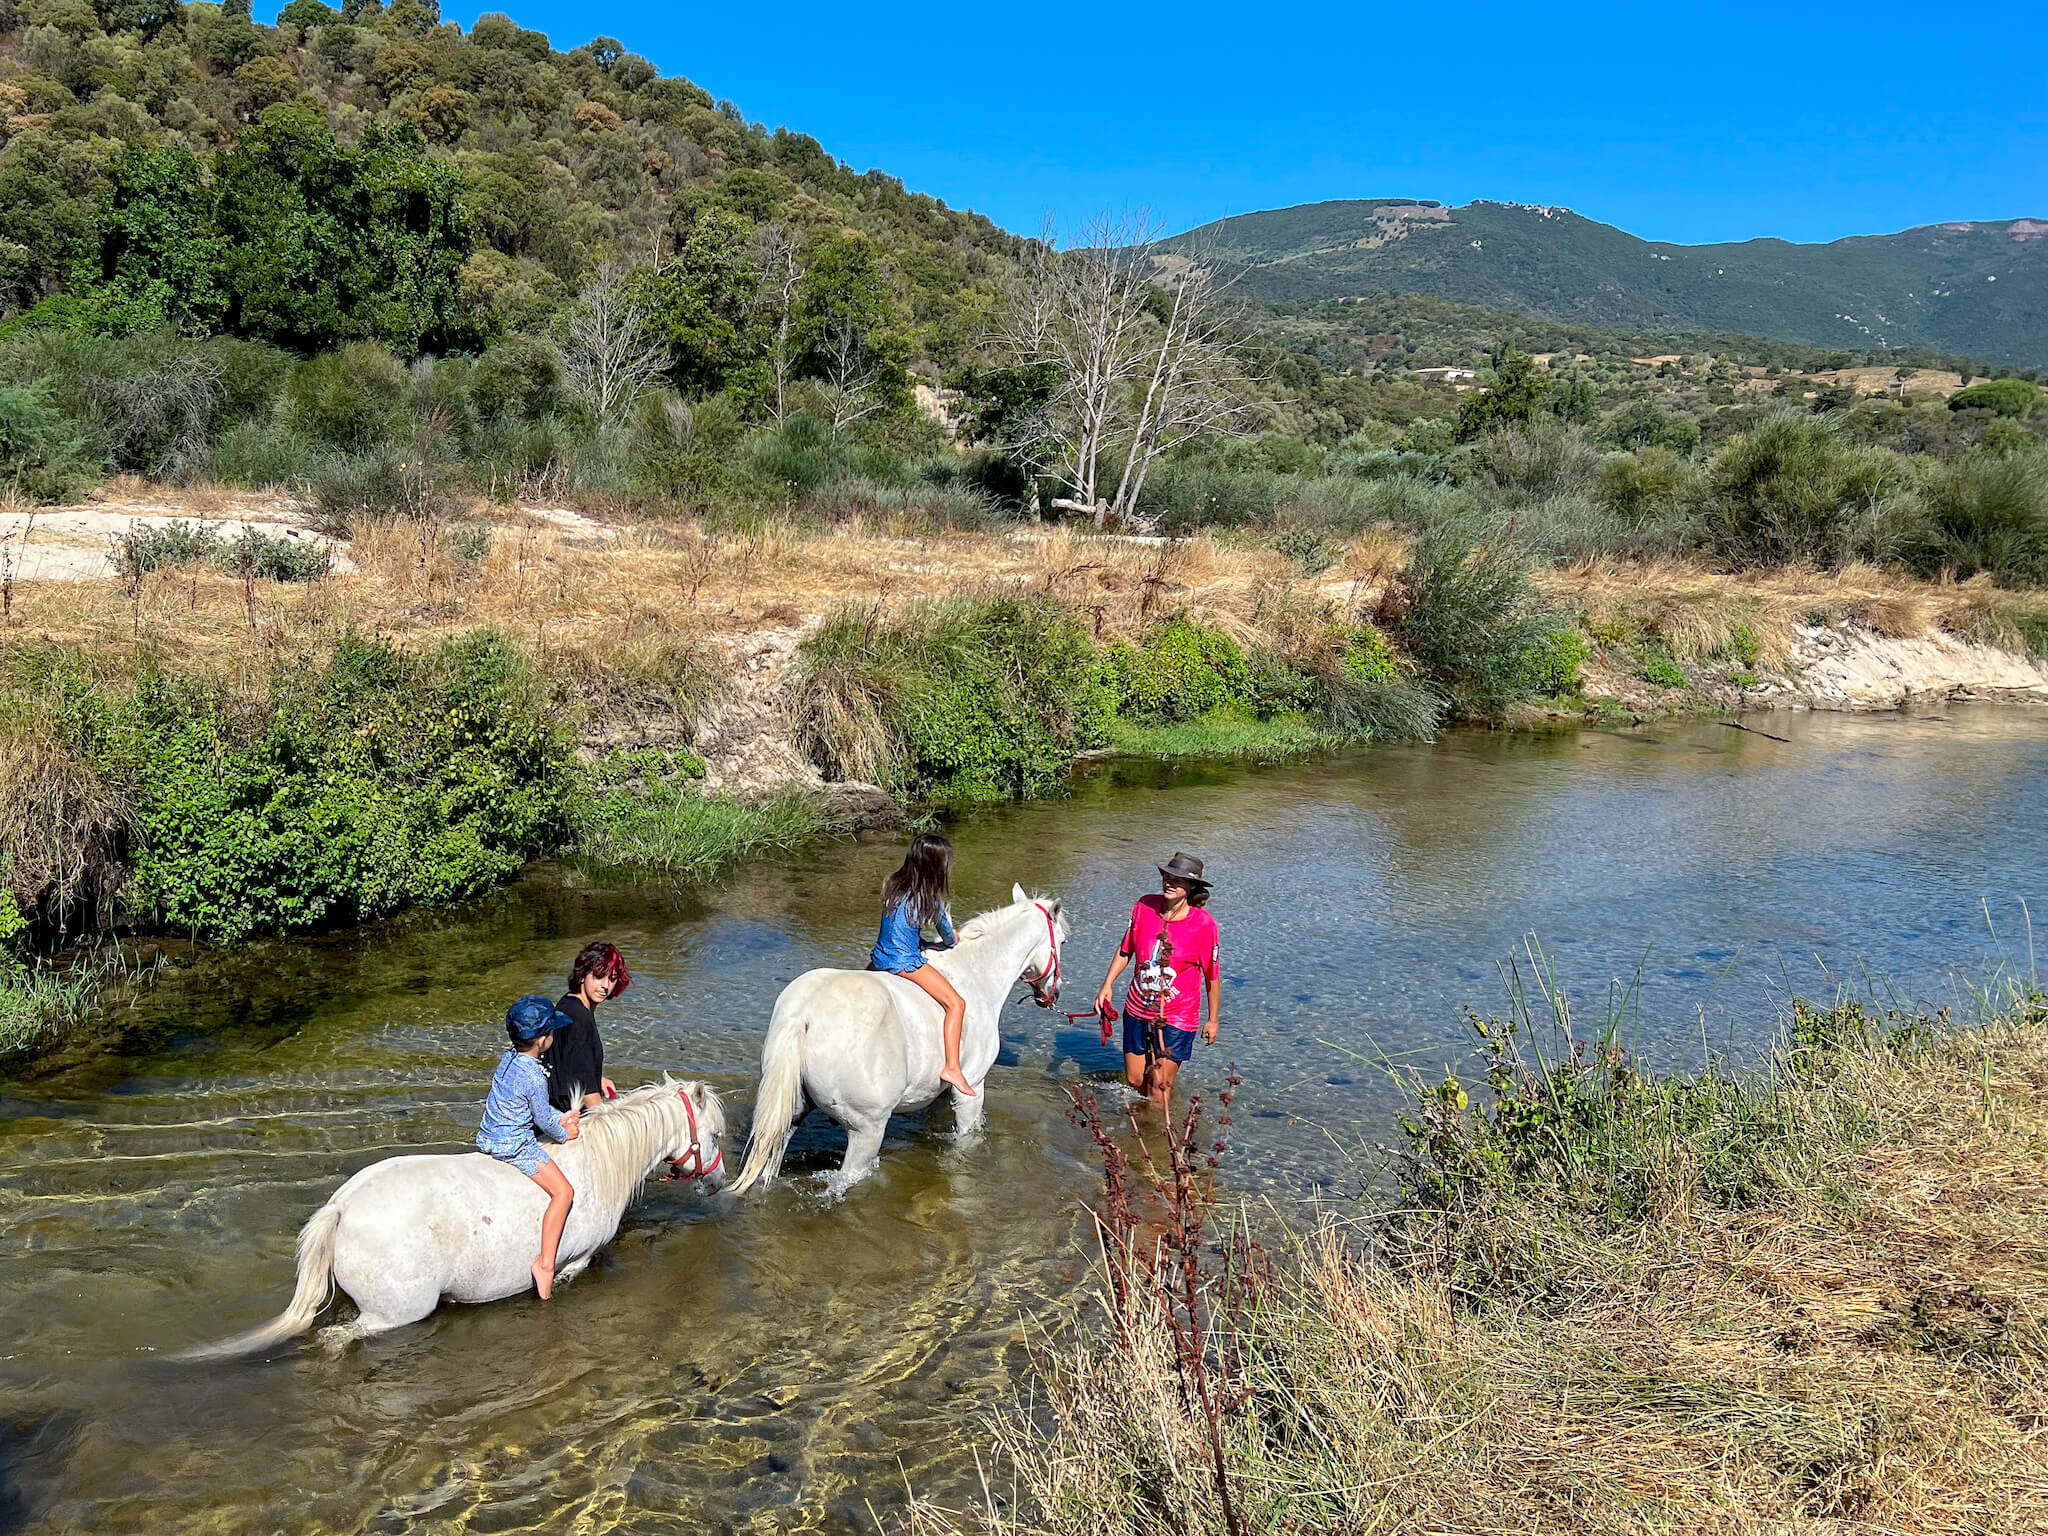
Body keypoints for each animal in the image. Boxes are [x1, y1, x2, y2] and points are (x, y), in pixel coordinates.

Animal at [186, 1081, 729, 1359]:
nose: (718, 1182)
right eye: (716, 1135)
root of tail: (341, 1209)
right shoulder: (577, 1262)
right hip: (396, 1313)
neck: (597, 1160)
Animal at [729, 884, 1064, 1196]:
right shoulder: (971, 1088)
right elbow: (967, 1140)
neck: (976, 976)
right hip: (867, 1130)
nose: (1053, 994)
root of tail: (805, 1015)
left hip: (788, 1117)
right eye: (1061, 942)